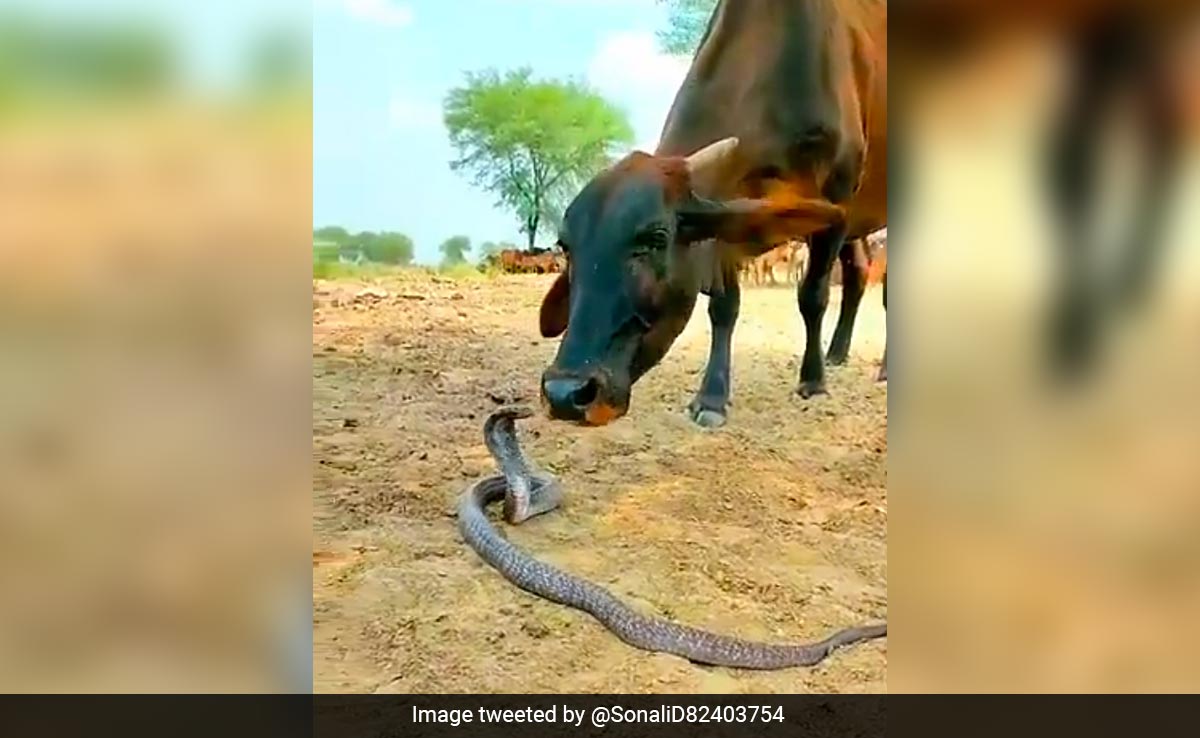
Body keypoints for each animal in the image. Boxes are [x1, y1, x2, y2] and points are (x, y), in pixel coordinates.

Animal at [536, 0, 886, 427]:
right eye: (566, 246)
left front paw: (813, 380)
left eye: (656, 237)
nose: (564, 393)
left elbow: (813, 295)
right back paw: (837, 352)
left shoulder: (838, 195)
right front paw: (712, 396)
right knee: (858, 273)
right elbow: (724, 306)